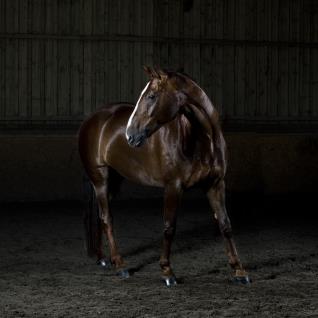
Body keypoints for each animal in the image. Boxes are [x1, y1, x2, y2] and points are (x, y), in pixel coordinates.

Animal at [78, 66, 250, 286]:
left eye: (151, 96)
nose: (130, 135)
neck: (202, 140)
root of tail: (93, 118)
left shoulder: (215, 184)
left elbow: (225, 224)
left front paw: (239, 271)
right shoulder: (173, 187)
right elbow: (169, 227)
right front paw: (167, 271)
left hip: (114, 182)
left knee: (101, 217)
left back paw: (102, 258)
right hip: (100, 180)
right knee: (107, 218)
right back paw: (120, 265)